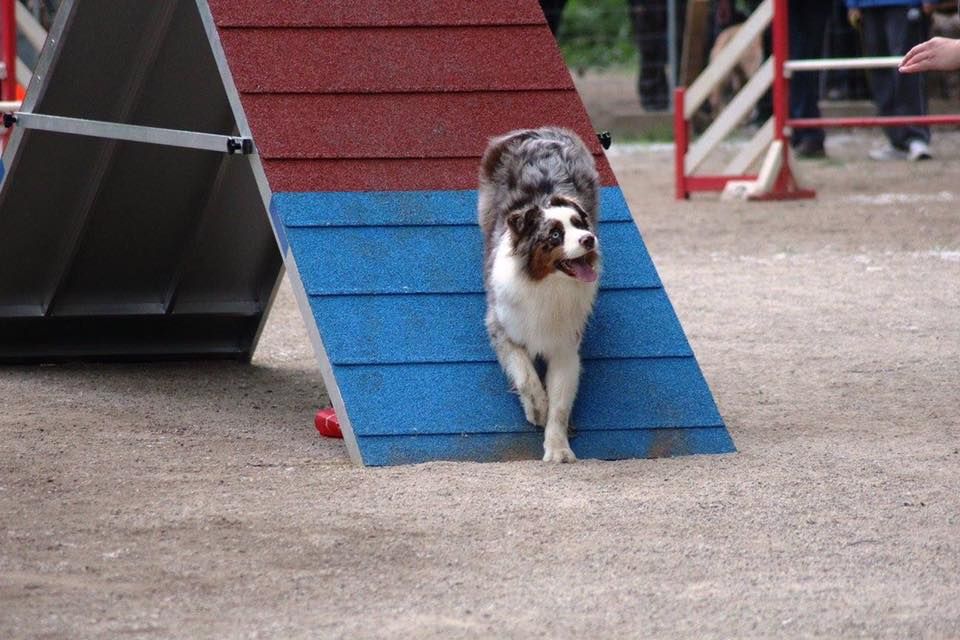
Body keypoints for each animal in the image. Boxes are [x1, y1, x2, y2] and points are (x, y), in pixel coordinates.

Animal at [478, 127, 604, 462]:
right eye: (555, 235)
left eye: (579, 224)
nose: (589, 239)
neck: (548, 285)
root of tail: (539, 132)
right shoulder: (503, 328)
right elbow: (525, 375)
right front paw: (537, 409)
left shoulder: (565, 345)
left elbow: (560, 404)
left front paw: (558, 448)